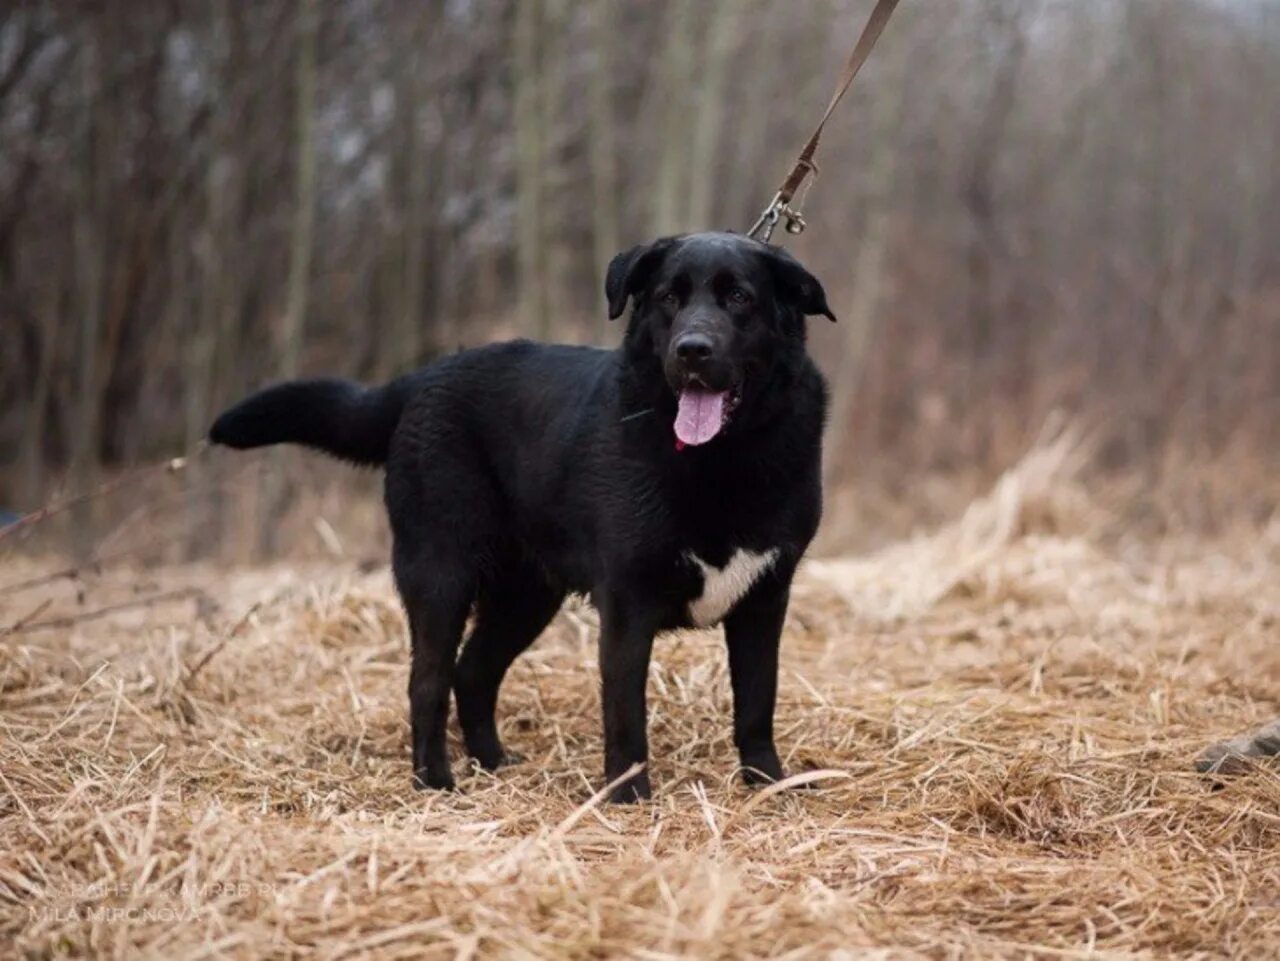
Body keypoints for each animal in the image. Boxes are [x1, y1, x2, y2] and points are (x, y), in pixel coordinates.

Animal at [215, 232, 834, 803]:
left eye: (739, 297)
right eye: (668, 298)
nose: (692, 350)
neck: (719, 460)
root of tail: (423, 379)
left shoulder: (766, 599)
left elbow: (757, 701)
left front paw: (768, 783)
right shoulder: (627, 604)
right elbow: (626, 715)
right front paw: (629, 796)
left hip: (527, 594)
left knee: (472, 671)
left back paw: (492, 763)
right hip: (440, 572)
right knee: (428, 680)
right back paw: (435, 781)